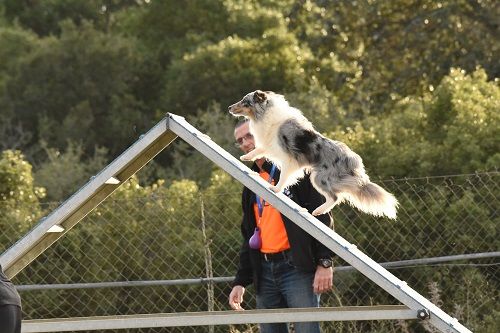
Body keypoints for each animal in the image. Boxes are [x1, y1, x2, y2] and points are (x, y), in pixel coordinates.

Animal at [228, 89, 398, 218]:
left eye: (245, 102)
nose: (229, 107)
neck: (265, 113)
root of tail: (353, 161)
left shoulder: (289, 159)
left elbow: (284, 177)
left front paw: (275, 189)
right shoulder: (270, 144)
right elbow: (258, 150)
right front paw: (245, 157)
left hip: (319, 178)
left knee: (335, 197)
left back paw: (318, 211)